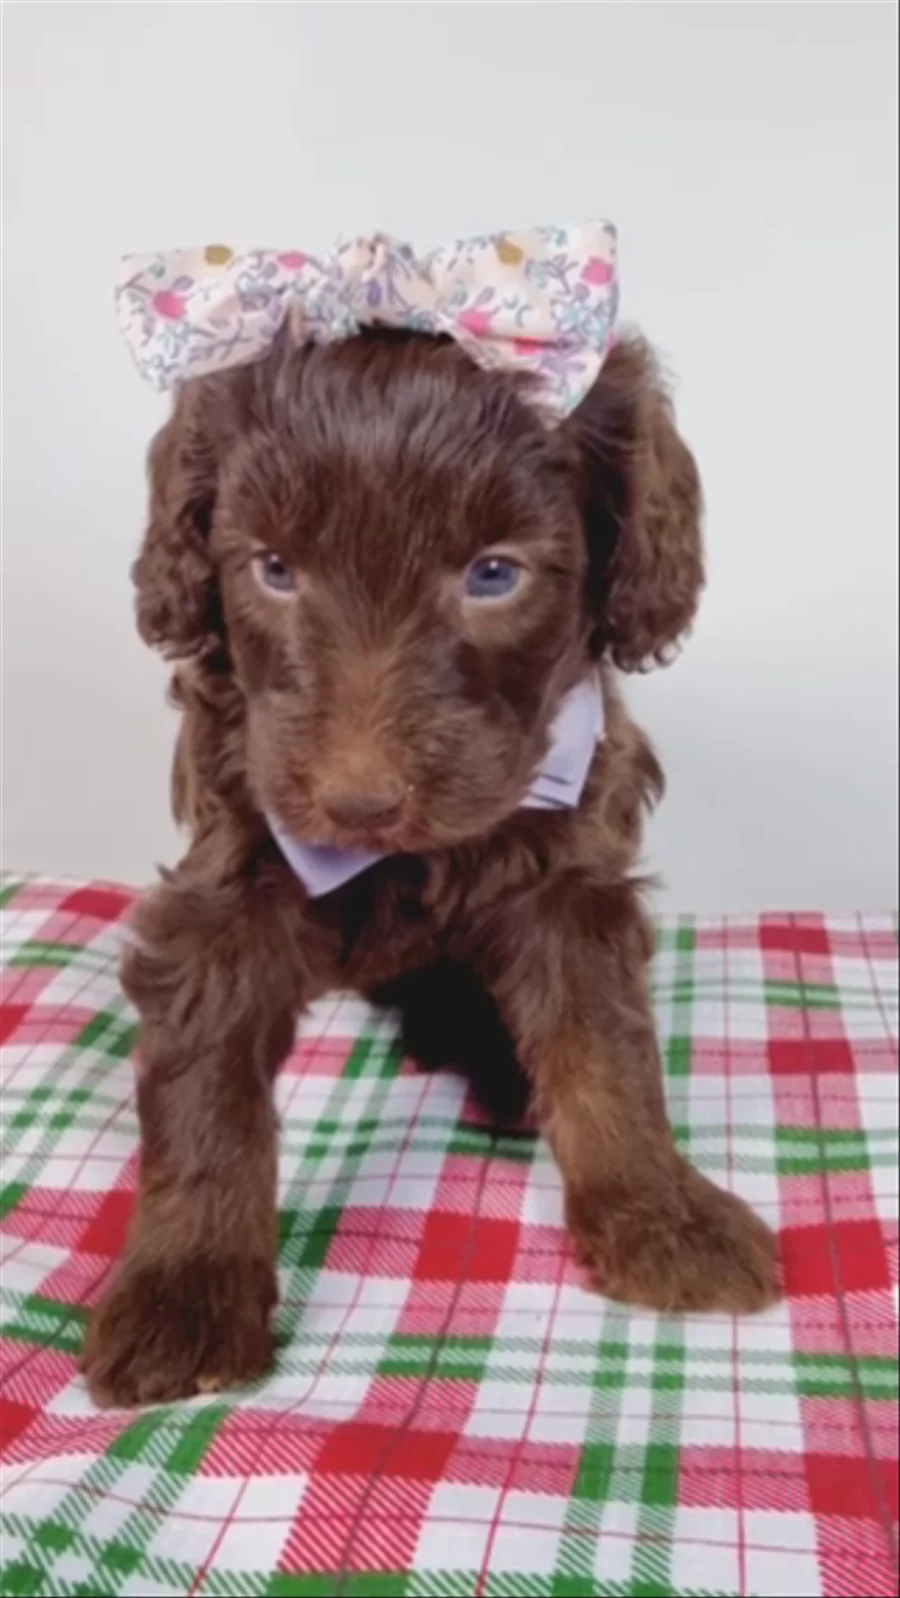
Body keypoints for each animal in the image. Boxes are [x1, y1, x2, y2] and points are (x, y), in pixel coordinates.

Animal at [82, 321, 778, 1407]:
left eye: (493, 574)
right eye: (273, 567)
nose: (360, 803)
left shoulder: (570, 866)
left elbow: (606, 1044)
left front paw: (659, 1213)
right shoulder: (229, 872)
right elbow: (206, 1080)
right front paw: (184, 1289)